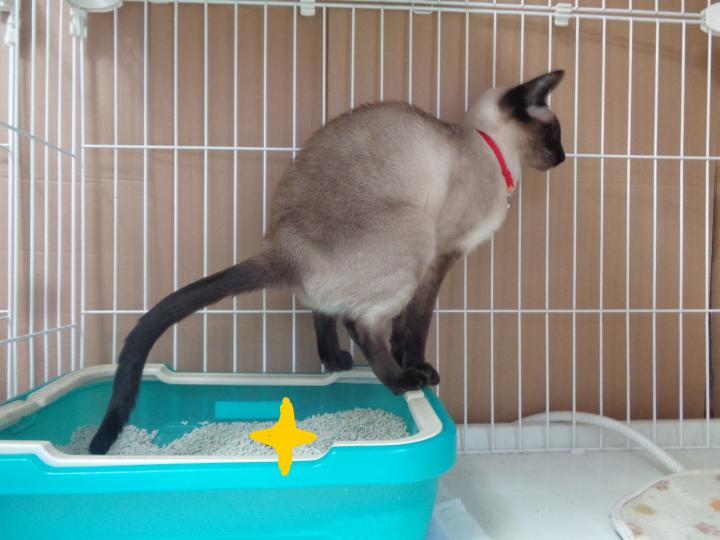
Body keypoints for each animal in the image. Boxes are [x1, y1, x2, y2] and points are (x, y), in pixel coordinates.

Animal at [89, 70, 565, 455]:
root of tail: (284, 248)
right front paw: (417, 368)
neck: (487, 149)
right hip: (414, 236)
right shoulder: (439, 257)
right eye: (555, 134)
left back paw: (338, 362)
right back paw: (399, 381)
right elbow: (415, 326)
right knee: (360, 323)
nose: (563, 158)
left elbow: (401, 328)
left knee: (323, 311)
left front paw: (404, 360)